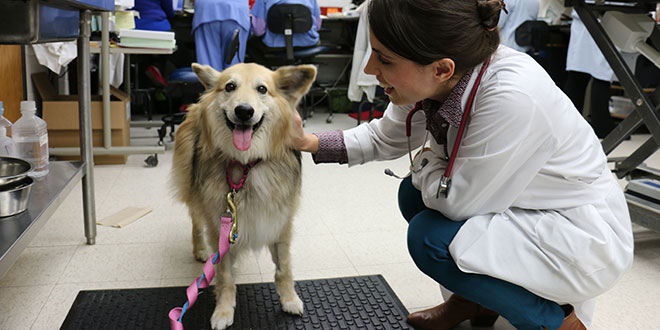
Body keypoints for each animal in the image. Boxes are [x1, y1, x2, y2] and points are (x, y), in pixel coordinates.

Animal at [169, 62, 316, 330]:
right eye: (229, 87)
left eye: (262, 89)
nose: (244, 111)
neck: (247, 163)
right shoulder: (220, 227)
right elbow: (225, 277)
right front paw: (223, 311)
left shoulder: (280, 223)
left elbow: (284, 269)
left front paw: (289, 300)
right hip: (192, 188)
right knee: (195, 222)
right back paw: (200, 250)